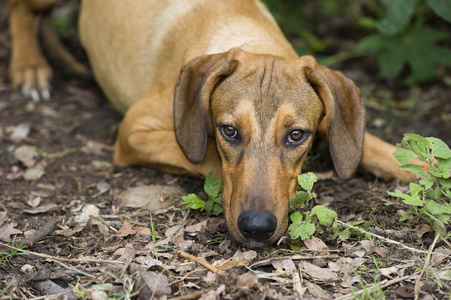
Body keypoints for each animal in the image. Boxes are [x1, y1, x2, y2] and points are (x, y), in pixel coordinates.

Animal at [7, 0, 420, 246]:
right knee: (21, 9)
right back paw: (30, 65)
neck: (251, 37)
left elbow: (390, 151)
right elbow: (206, 158)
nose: (257, 228)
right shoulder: (134, 132)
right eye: (230, 131)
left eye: (296, 135)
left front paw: (420, 164)